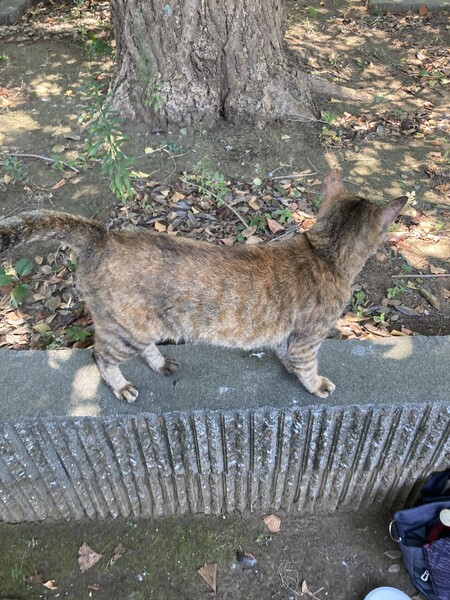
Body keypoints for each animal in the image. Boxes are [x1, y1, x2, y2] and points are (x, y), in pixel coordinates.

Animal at [0, 170, 406, 402]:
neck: (325, 249)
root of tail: (103, 235)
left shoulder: (288, 335)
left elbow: (286, 355)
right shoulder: (308, 337)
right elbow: (306, 366)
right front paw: (315, 383)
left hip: (142, 326)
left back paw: (160, 362)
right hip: (124, 330)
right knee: (100, 356)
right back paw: (120, 385)